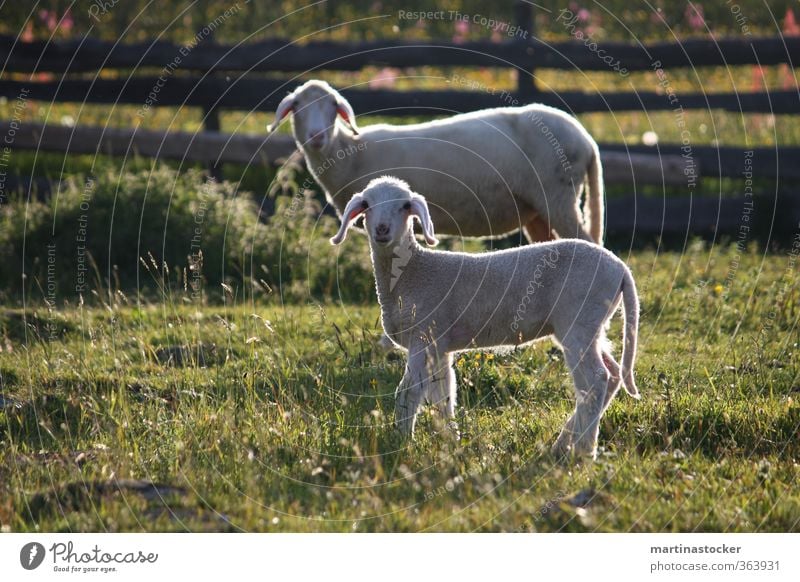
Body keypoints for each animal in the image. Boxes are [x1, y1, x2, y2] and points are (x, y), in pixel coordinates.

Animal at [268, 79, 608, 244]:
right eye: (296, 106)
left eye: (332, 107)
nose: (316, 136)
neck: (350, 153)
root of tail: (586, 140)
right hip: (538, 209)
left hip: (559, 195)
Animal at [328, 177, 640, 460]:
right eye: (366, 205)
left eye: (405, 206)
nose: (382, 229)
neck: (413, 272)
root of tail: (621, 269)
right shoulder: (438, 345)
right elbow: (443, 394)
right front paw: (451, 442)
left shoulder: (423, 337)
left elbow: (408, 392)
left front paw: (400, 443)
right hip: (592, 324)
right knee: (612, 374)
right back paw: (563, 443)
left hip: (578, 319)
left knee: (595, 381)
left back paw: (583, 451)